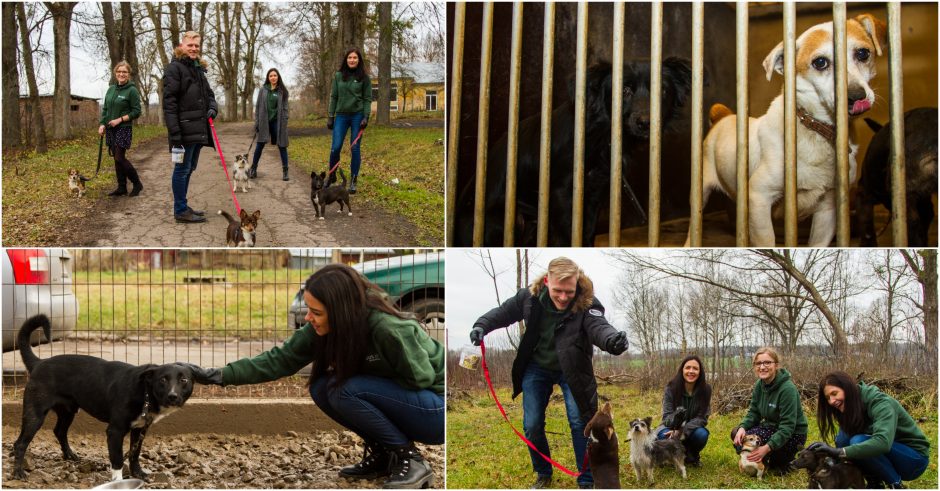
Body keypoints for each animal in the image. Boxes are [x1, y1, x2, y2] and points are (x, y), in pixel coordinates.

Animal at [12, 318, 195, 482]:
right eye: (162, 380)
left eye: (184, 380)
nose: (173, 396)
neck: (145, 393)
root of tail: (39, 363)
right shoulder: (115, 431)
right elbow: (118, 460)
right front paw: (118, 481)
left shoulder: (139, 430)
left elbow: (134, 454)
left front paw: (138, 474)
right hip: (35, 415)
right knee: (20, 444)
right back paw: (18, 472)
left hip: (68, 411)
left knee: (59, 431)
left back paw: (69, 454)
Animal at [452, 58, 692, 248]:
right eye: (624, 91)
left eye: (662, 91)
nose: (645, 123)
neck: (600, 136)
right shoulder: (561, 194)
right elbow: (569, 235)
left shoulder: (594, 194)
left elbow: (587, 232)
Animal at [692, 13, 888, 248]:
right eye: (820, 62)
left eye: (863, 53)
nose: (856, 96)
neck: (814, 128)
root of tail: (724, 116)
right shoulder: (759, 198)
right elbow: (767, 241)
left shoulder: (828, 209)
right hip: (701, 194)